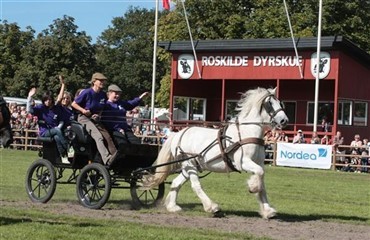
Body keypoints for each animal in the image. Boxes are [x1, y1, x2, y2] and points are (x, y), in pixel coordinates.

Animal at [142, 87, 290, 218]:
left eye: (280, 102)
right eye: (269, 104)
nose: (284, 120)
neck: (246, 132)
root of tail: (178, 134)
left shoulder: (258, 162)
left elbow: (262, 182)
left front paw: (268, 210)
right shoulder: (243, 162)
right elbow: (259, 173)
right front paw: (253, 187)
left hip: (189, 167)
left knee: (176, 183)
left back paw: (173, 207)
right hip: (190, 165)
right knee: (196, 185)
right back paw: (212, 207)